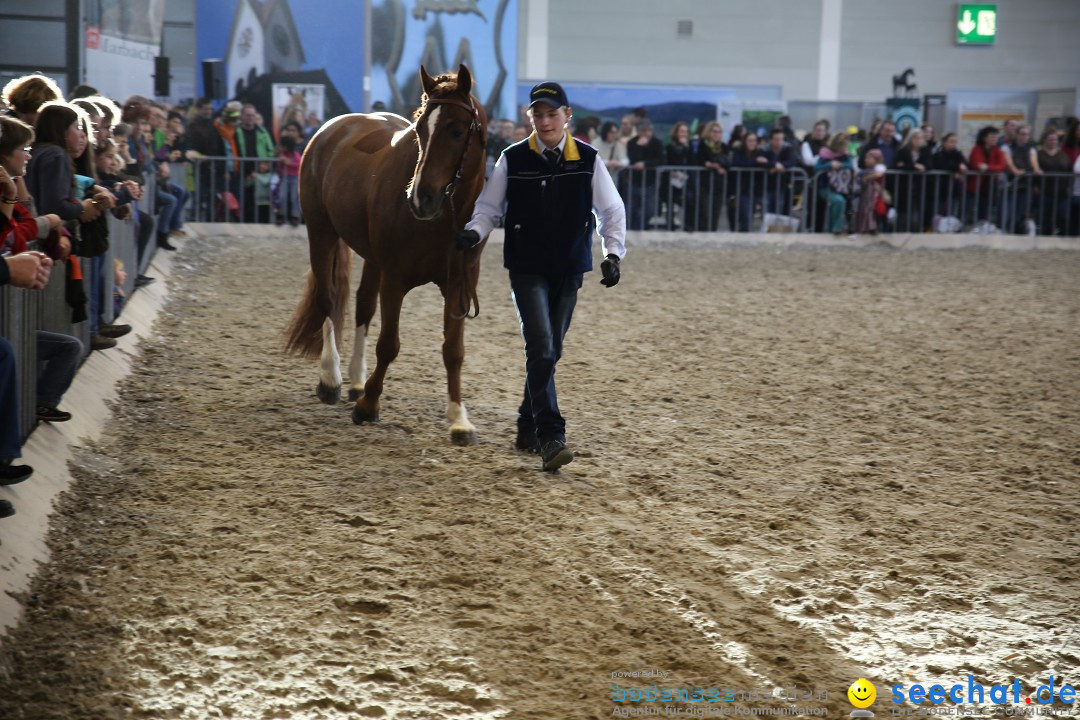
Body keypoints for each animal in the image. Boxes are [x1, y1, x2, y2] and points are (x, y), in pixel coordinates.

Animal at [287, 64, 490, 444]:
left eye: (457, 131)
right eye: (420, 129)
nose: (421, 198)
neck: (441, 223)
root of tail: (330, 129)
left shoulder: (457, 286)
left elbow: (453, 351)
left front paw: (459, 419)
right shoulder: (394, 279)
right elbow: (389, 344)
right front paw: (368, 406)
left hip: (371, 258)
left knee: (363, 304)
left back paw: (355, 380)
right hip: (321, 232)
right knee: (328, 299)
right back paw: (331, 378)